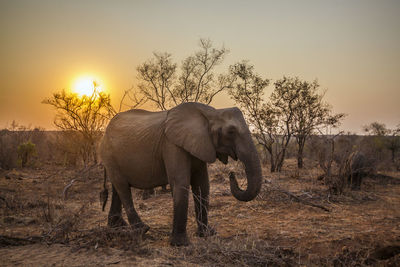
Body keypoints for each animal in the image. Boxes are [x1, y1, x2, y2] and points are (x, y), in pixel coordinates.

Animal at [99, 102, 262, 247]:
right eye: (231, 132)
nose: (231, 174)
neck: (211, 113)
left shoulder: (200, 144)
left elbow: (202, 185)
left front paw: (207, 234)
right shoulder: (172, 144)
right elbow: (181, 182)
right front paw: (181, 244)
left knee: (117, 188)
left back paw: (117, 227)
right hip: (109, 154)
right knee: (122, 188)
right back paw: (142, 230)